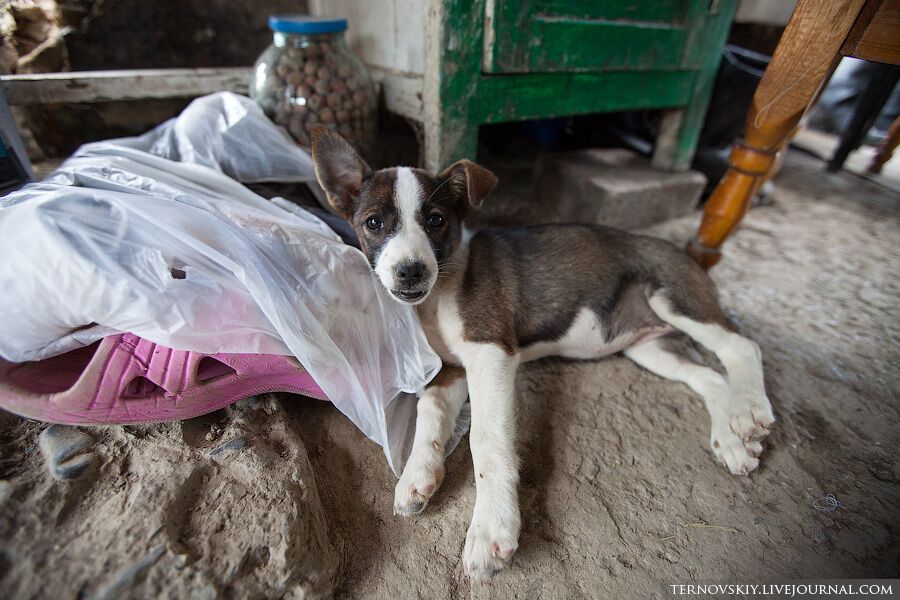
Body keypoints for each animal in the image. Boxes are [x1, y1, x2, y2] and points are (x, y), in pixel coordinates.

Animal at [312, 127, 772, 580]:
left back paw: (749, 410)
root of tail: (688, 253)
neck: (441, 291)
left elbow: (486, 439)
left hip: (673, 297)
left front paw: (491, 526)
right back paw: (732, 440)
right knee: (711, 376)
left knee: (741, 346)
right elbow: (430, 412)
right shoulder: (452, 369)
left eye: (436, 220)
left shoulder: (491, 353)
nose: (410, 271)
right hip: (649, 347)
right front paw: (417, 475)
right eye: (373, 223)